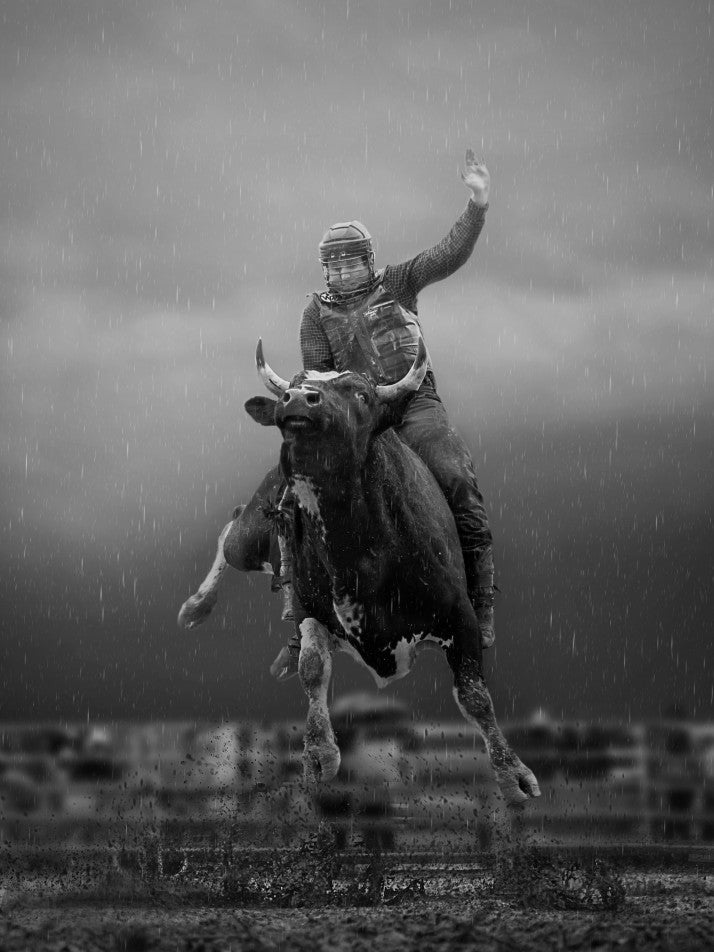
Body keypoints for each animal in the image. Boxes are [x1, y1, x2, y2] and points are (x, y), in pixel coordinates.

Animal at [181, 338, 540, 808]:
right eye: (293, 384)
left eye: (362, 395)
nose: (297, 400)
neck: (360, 559)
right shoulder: (310, 608)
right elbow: (313, 666)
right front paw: (318, 756)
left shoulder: (460, 615)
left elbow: (474, 694)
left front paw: (513, 775)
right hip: (251, 537)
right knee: (232, 528)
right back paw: (196, 606)